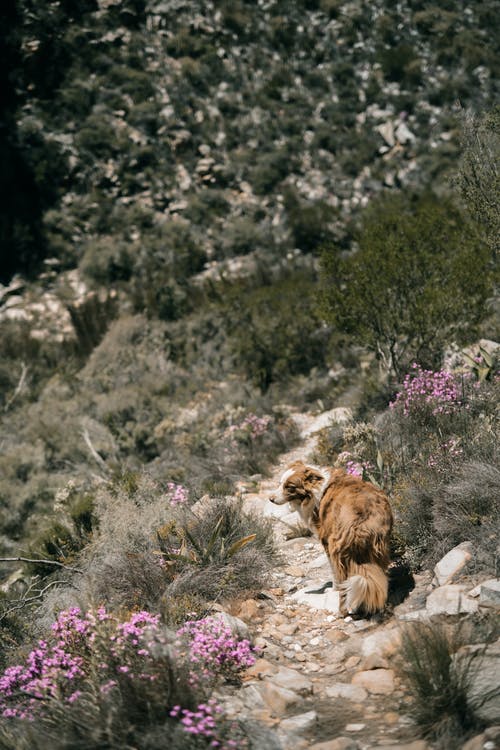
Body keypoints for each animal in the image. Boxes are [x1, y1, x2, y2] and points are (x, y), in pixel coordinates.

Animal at [272, 464, 392, 616]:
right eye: (280, 483)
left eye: (290, 487)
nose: (270, 499)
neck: (316, 489)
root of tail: (361, 522)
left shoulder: (325, 541)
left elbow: (333, 572)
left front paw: (332, 589)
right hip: (378, 548)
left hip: (337, 548)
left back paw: (342, 611)